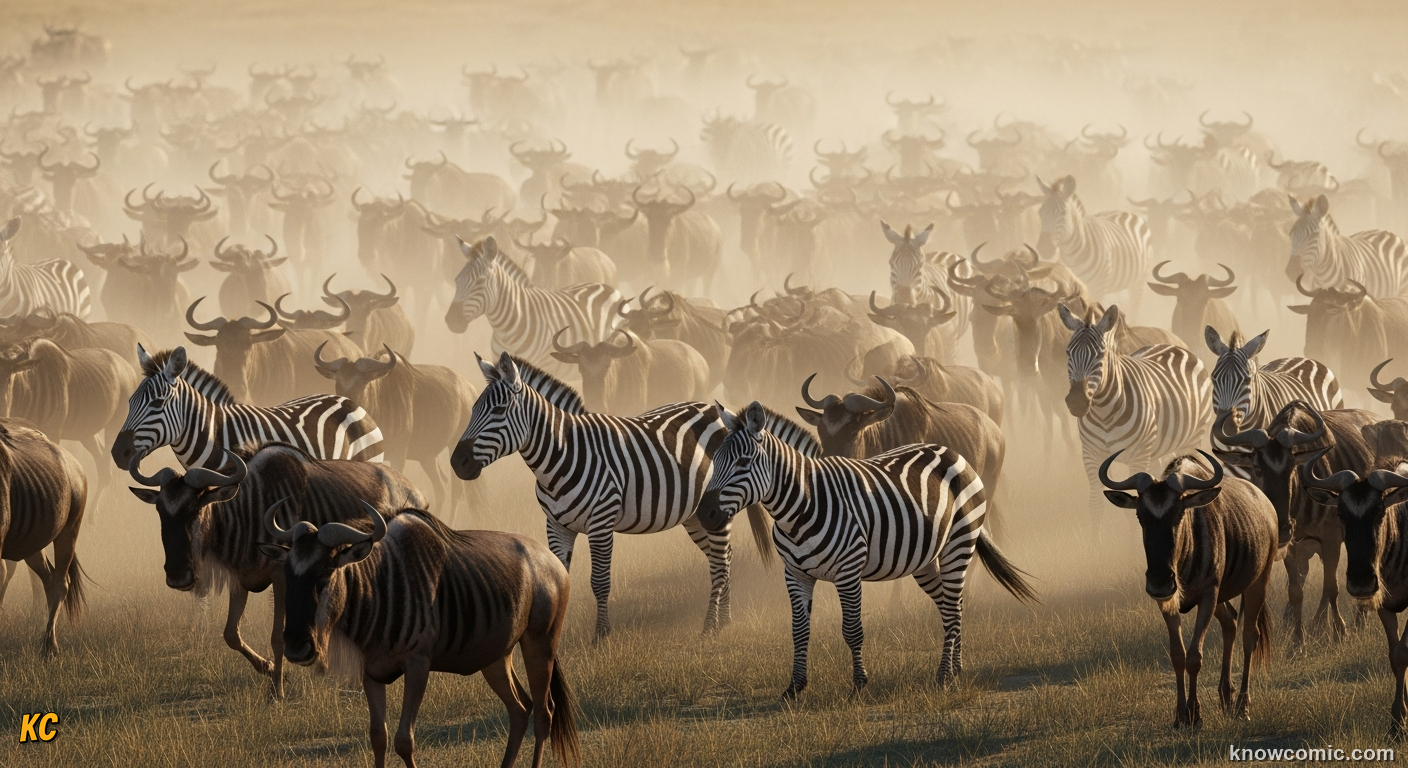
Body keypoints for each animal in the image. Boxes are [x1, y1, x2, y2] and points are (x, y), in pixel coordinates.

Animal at [451, 352, 762, 638]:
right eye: (473, 408)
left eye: (499, 410)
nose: (457, 463)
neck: (562, 456)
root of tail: (717, 411)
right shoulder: (556, 525)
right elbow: (559, 577)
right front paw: (554, 637)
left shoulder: (601, 523)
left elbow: (600, 581)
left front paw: (602, 635)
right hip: (697, 515)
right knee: (723, 557)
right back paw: (725, 620)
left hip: (718, 509)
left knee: (720, 562)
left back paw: (710, 627)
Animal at [695, 400, 1036, 699]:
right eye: (715, 459)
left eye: (743, 462)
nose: (705, 514)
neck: (802, 505)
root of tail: (950, 452)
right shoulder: (795, 573)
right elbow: (799, 630)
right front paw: (794, 687)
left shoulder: (848, 572)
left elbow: (852, 629)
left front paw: (859, 685)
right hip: (925, 560)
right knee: (952, 606)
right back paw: (956, 670)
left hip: (959, 543)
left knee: (953, 607)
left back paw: (943, 677)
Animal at [1061, 303, 1212, 523]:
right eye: (1068, 353)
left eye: (1100, 354)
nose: (1077, 402)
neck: (1104, 415)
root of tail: (1173, 345)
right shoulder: (1090, 454)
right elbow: (1096, 505)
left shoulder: (1138, 455)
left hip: (1191, 439)